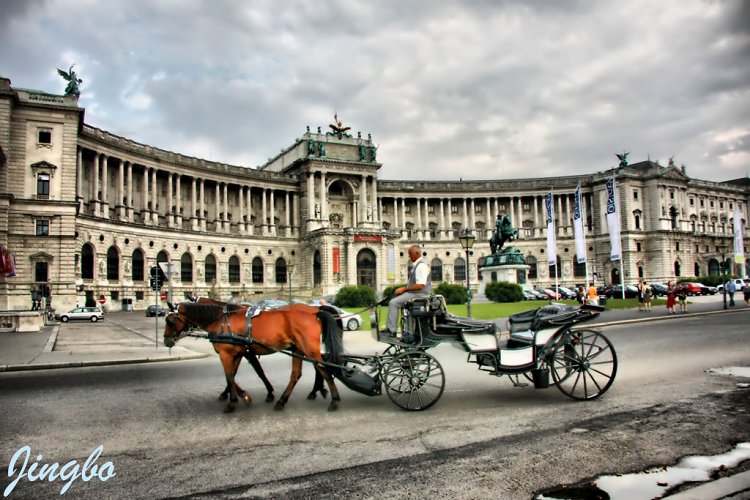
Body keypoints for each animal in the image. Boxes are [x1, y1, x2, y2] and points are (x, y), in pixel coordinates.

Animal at [166, 302, 346, 412]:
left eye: (170, 321)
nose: (166, 340)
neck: (222, 321)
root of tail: (315, 311)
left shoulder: (227, 354)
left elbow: (230, 376)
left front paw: (234, 401)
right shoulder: (238, 352)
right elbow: (233, 375)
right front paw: (239, 395)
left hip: (308, 349)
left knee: (324, 370)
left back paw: (334, 400)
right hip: (298, 349)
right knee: (299, 374)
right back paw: (284, 400)